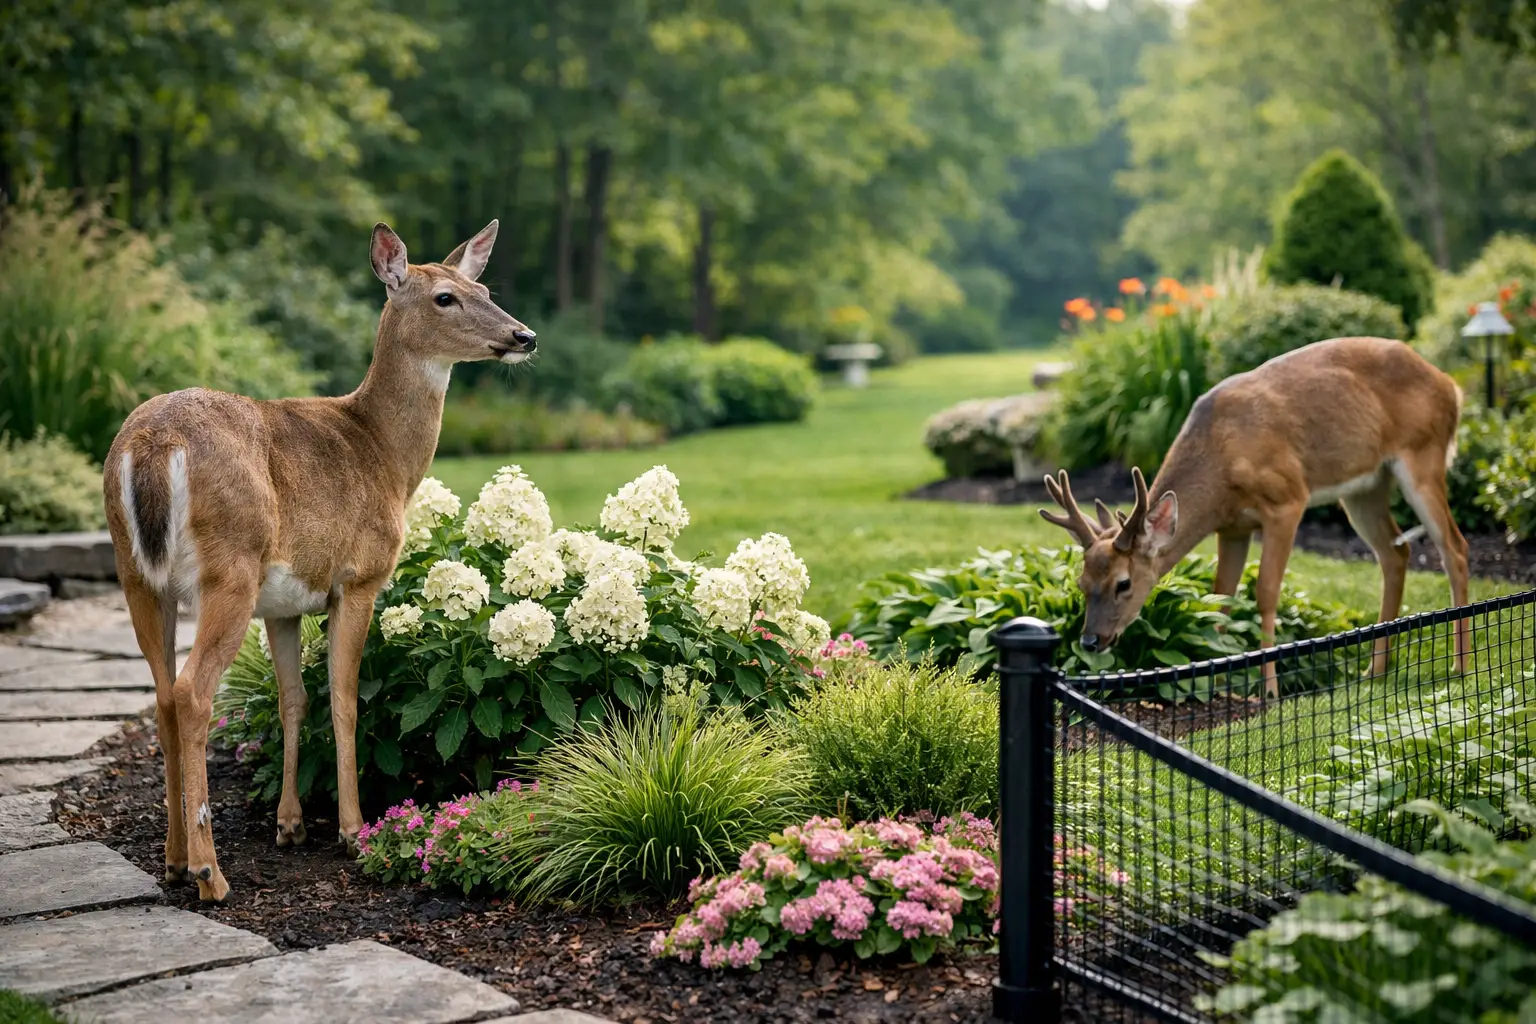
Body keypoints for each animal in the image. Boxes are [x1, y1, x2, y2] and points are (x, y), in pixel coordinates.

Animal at [102, 221, 534, 902]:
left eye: (484, 288)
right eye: (444, 297)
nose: (524, 337)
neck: (383, 453)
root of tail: (151, 446)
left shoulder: (282, 604)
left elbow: (293, 699)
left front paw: (291, 826)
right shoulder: (358, 578)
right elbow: (344, 697)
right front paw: (353, 831)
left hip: (138, 575)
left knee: (163, 694)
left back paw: (172, 861)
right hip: (231, 566)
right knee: (193, 693)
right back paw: (209, 873)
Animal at [1040, 335, 1470, 698]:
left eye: (1124, 584)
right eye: (1081, 582)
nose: (1090, 641)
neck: (1222, 460)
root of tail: (1451, 385)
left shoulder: (1286, 501)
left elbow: (1265, 592)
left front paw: (1269, 691)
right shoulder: (1232, 526)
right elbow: (1220, 598)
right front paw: (1213, 681)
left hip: (1423, 455)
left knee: (1455, 547)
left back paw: (1460, 665)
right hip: (1364, 488)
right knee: (1394, 553)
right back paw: (1374, 670)